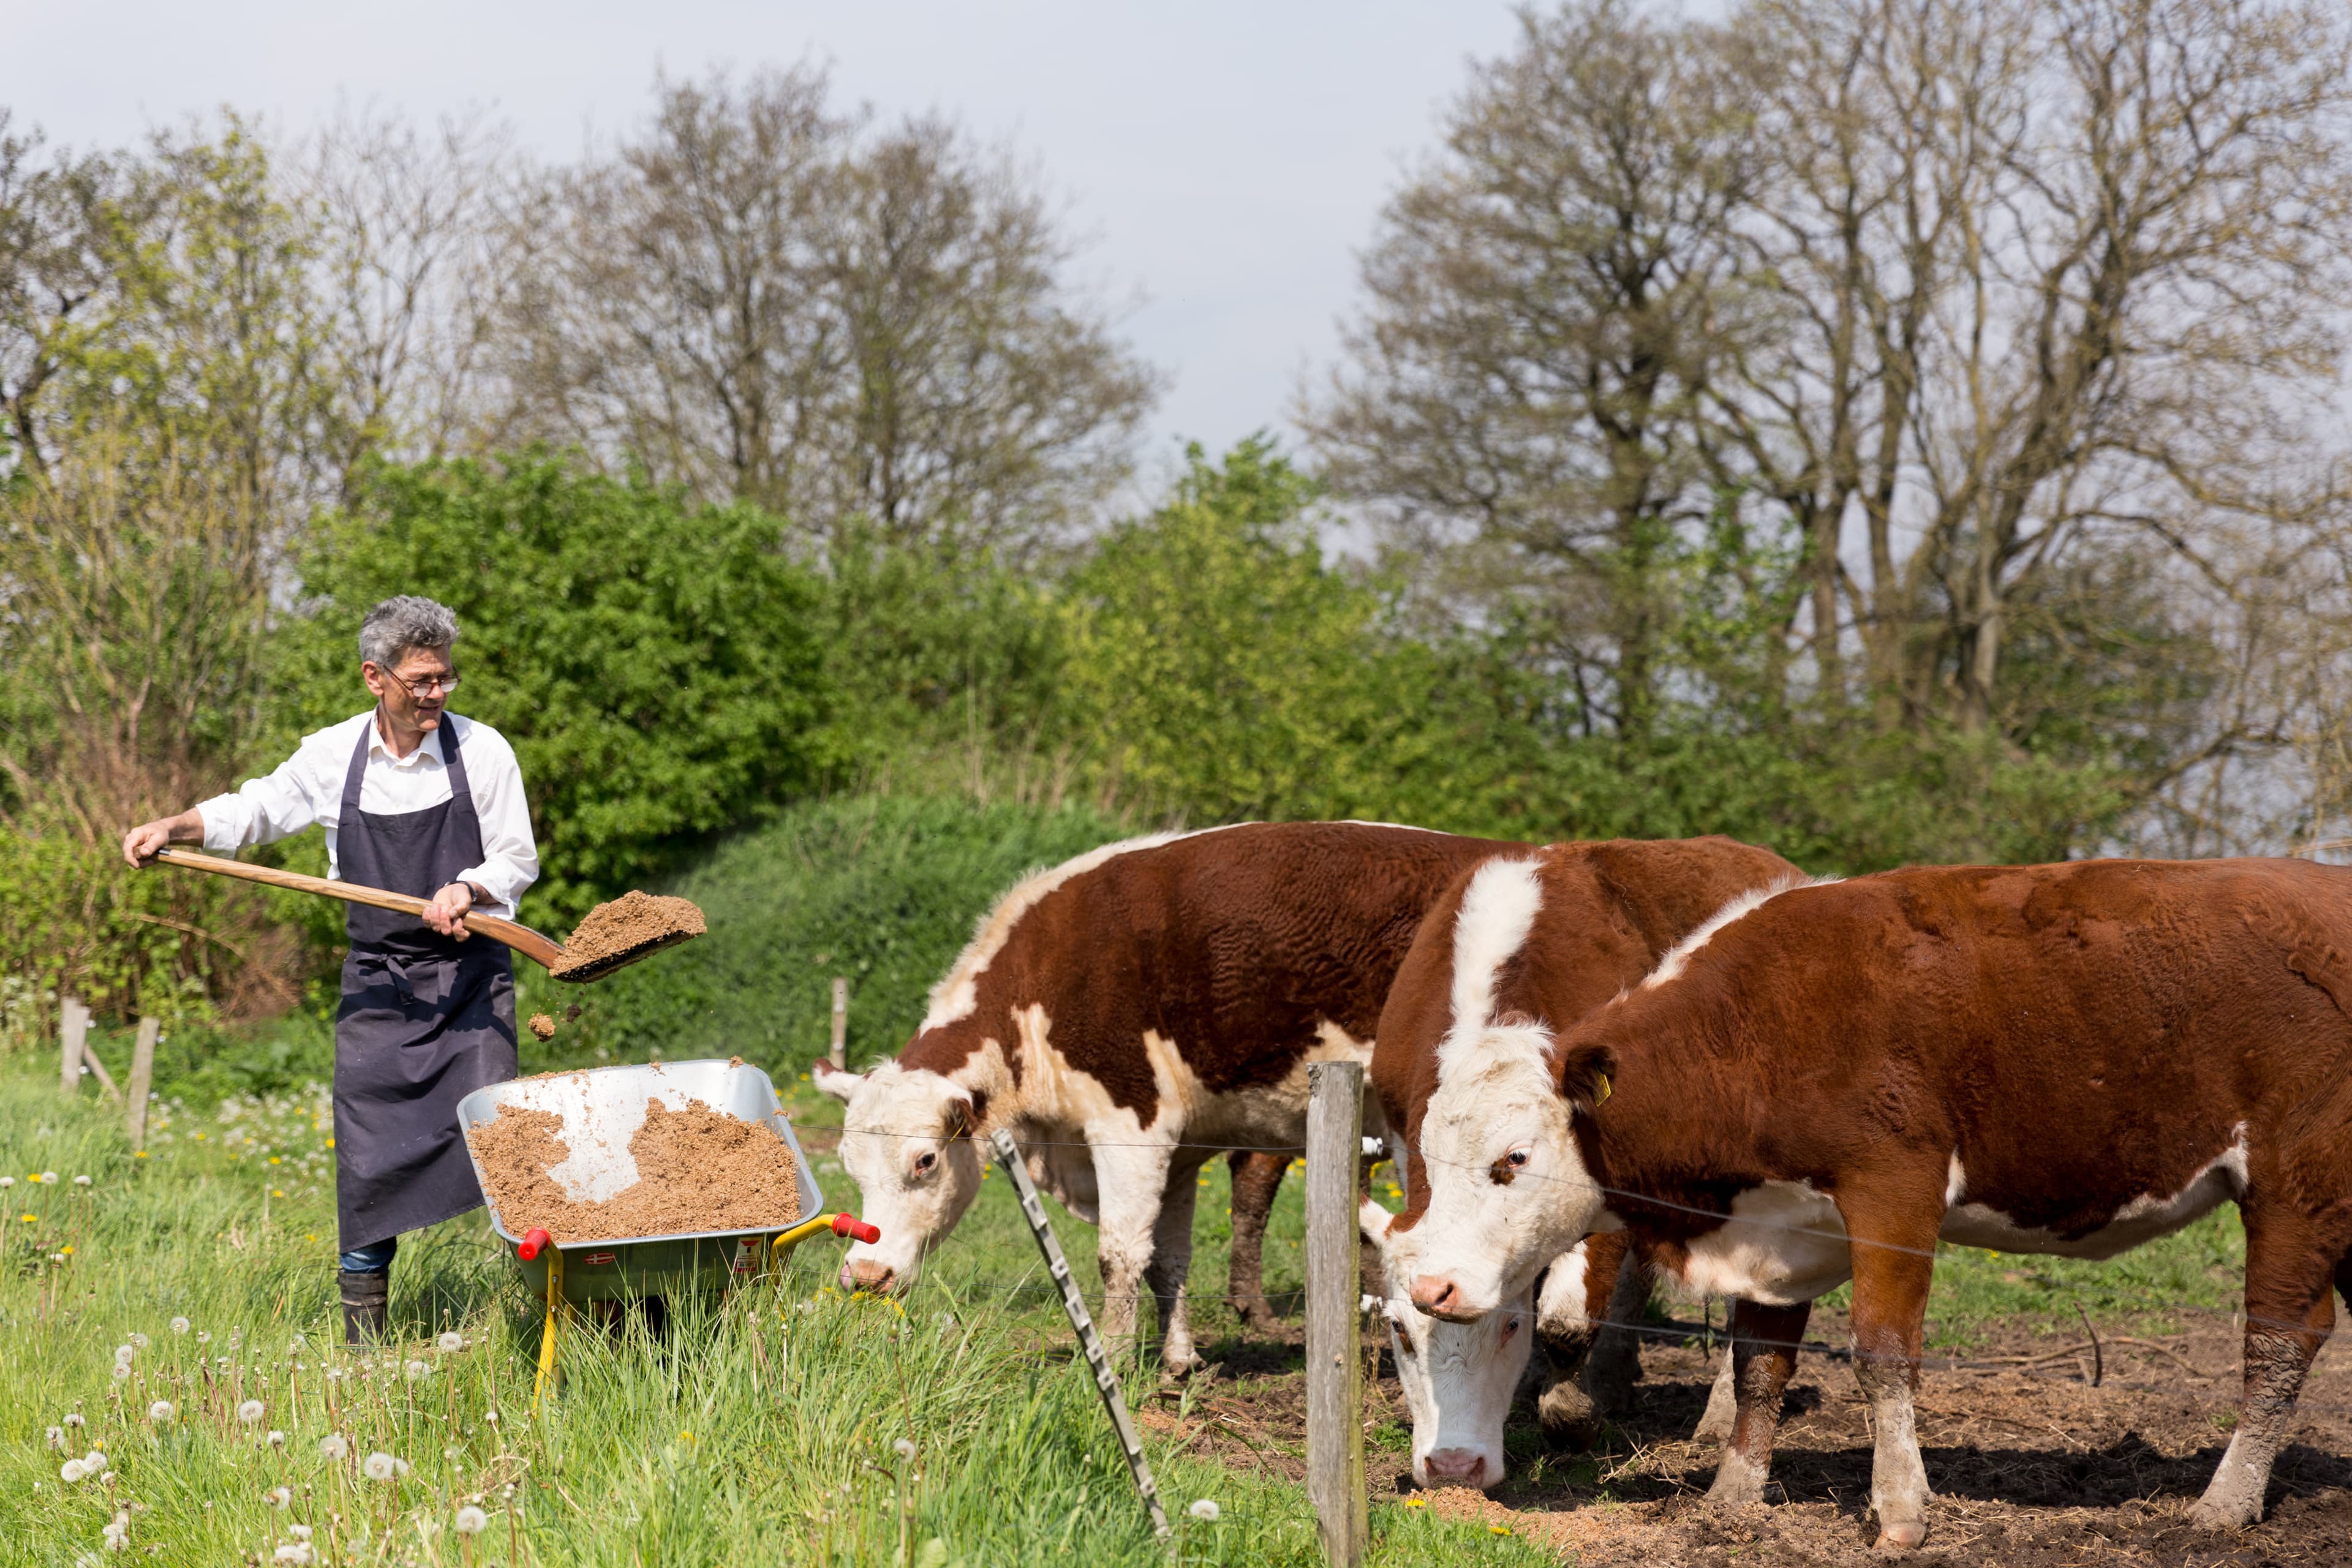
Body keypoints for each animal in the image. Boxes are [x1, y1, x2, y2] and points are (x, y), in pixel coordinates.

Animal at [812, 820, 1523, 1374]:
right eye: (848, 1166)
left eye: (925, 1161)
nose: (865, 1276)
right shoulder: (1181, 1149)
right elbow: (1168, 1257)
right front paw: (1178, 1360)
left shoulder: (1130, 1123)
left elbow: (1121, 1255)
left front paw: (1115, 1362)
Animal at [1353, 836, 1804, 1489]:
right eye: (1399, 1331)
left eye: (1511, 1326)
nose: (1455, 1465)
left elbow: (1565, 1323)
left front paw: (1570, 1416)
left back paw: (1716, 1417)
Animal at [1395, 857, 2352, 1549]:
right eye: (1432, 1152)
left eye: (1515, 1158)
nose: (1434, 1287)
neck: (1756, 1029)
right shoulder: (1774, 1231)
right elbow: (1760, 1365)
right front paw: (1732, 1497)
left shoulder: (1895, 1191)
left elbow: (1883, 1355)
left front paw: (1898, 1511)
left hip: (2295, 1187)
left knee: (2281, 1339)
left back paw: (2224, 1504)